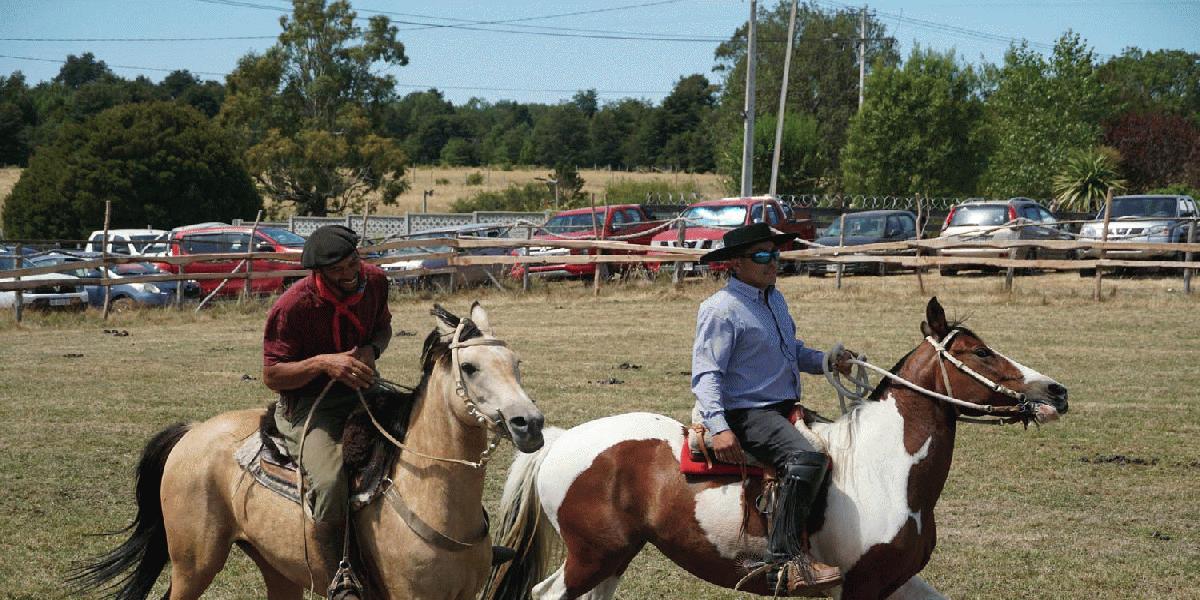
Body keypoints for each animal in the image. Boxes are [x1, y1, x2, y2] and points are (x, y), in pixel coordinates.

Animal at [71, 302, 545, 600]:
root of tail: (193, 432)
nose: (530, 423)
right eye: (470, 367)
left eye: (517, 364)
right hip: (194, 563)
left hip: (276, 565)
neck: (425, 492)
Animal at [483, 297, 1069, 600]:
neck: (885, 470)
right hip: (593, 556)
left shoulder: (893, 584)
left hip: (614, 557)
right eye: (980, 352)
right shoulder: (859, 588)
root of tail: (563, 440)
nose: (1055, 391)